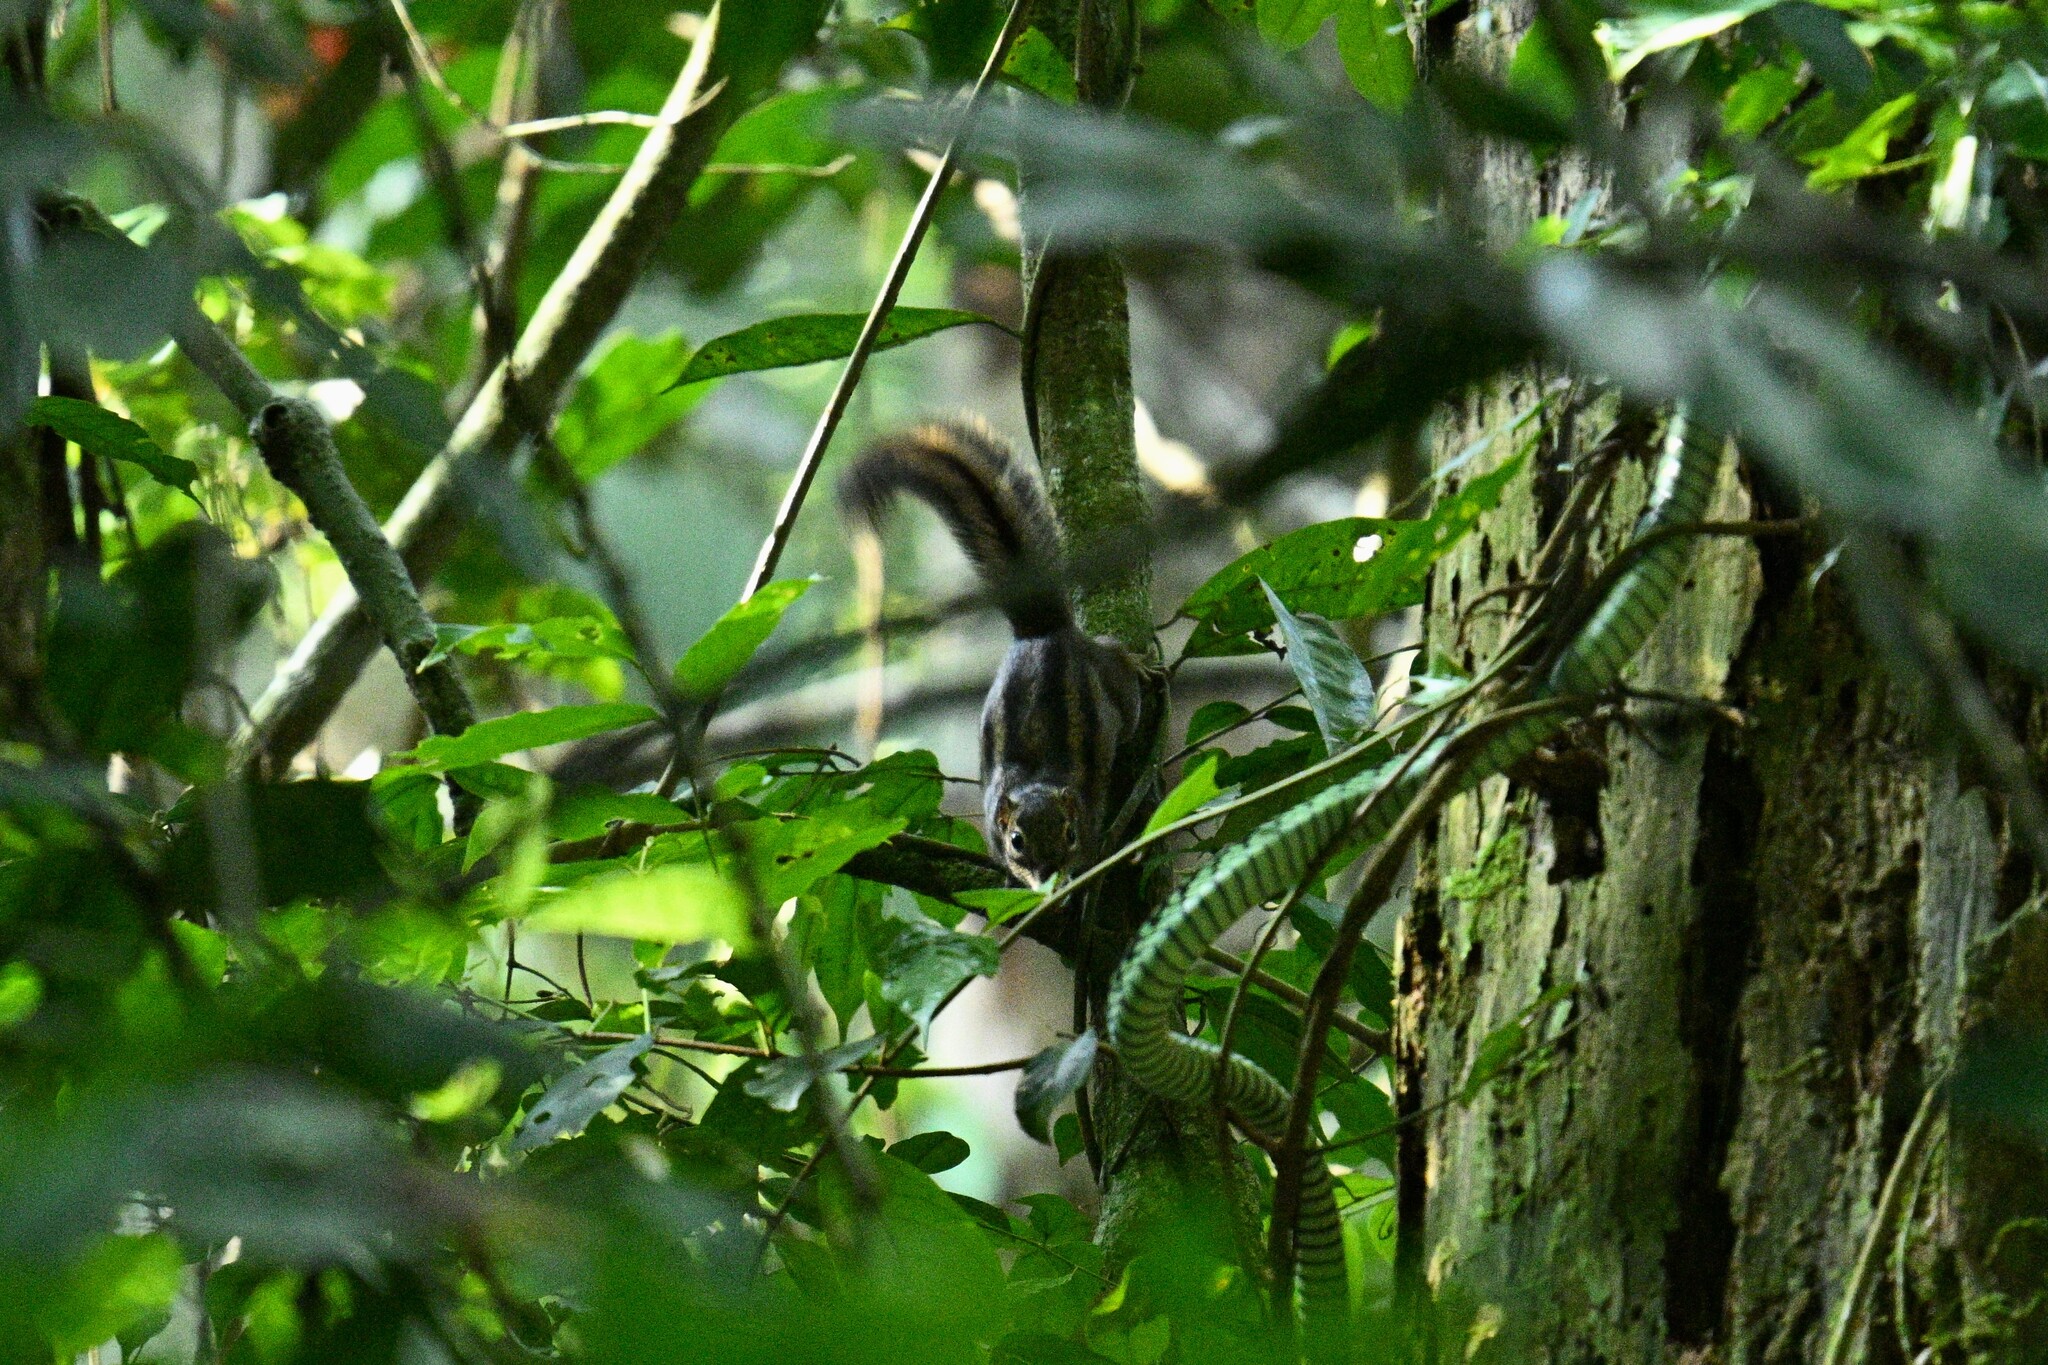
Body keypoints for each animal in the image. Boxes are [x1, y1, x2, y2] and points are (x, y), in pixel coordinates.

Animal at [841, 420, 1155, 889]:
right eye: (1016, 840)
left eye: (1070, 834)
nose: (1047, 875)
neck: (1037, 783)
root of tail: (1042, 629)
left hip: (1117, 693)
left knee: (1117, 668)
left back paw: (1136, 663)